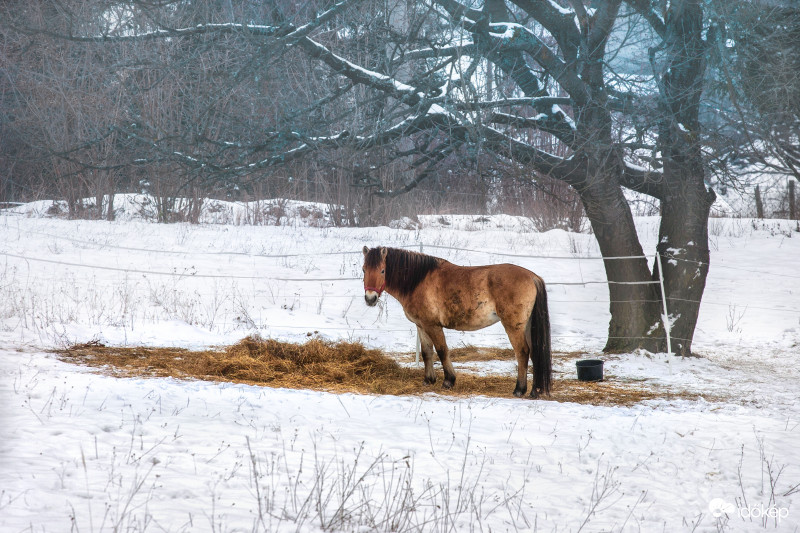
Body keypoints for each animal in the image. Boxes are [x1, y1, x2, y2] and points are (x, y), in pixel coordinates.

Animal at [362, 245, 552, 394]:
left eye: (382, 270)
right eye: (364, 269)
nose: (370, 299)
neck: (418, 281)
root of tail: (532, 277)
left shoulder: (433, 326)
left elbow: (442, 350)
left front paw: (448, 380)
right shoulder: (421, 326)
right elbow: (426, 352)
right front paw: (428, 380)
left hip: (514, 326)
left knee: (522, 352)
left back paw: (519, 389)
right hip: (527, 326)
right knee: (534, 352)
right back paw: (535, 390)